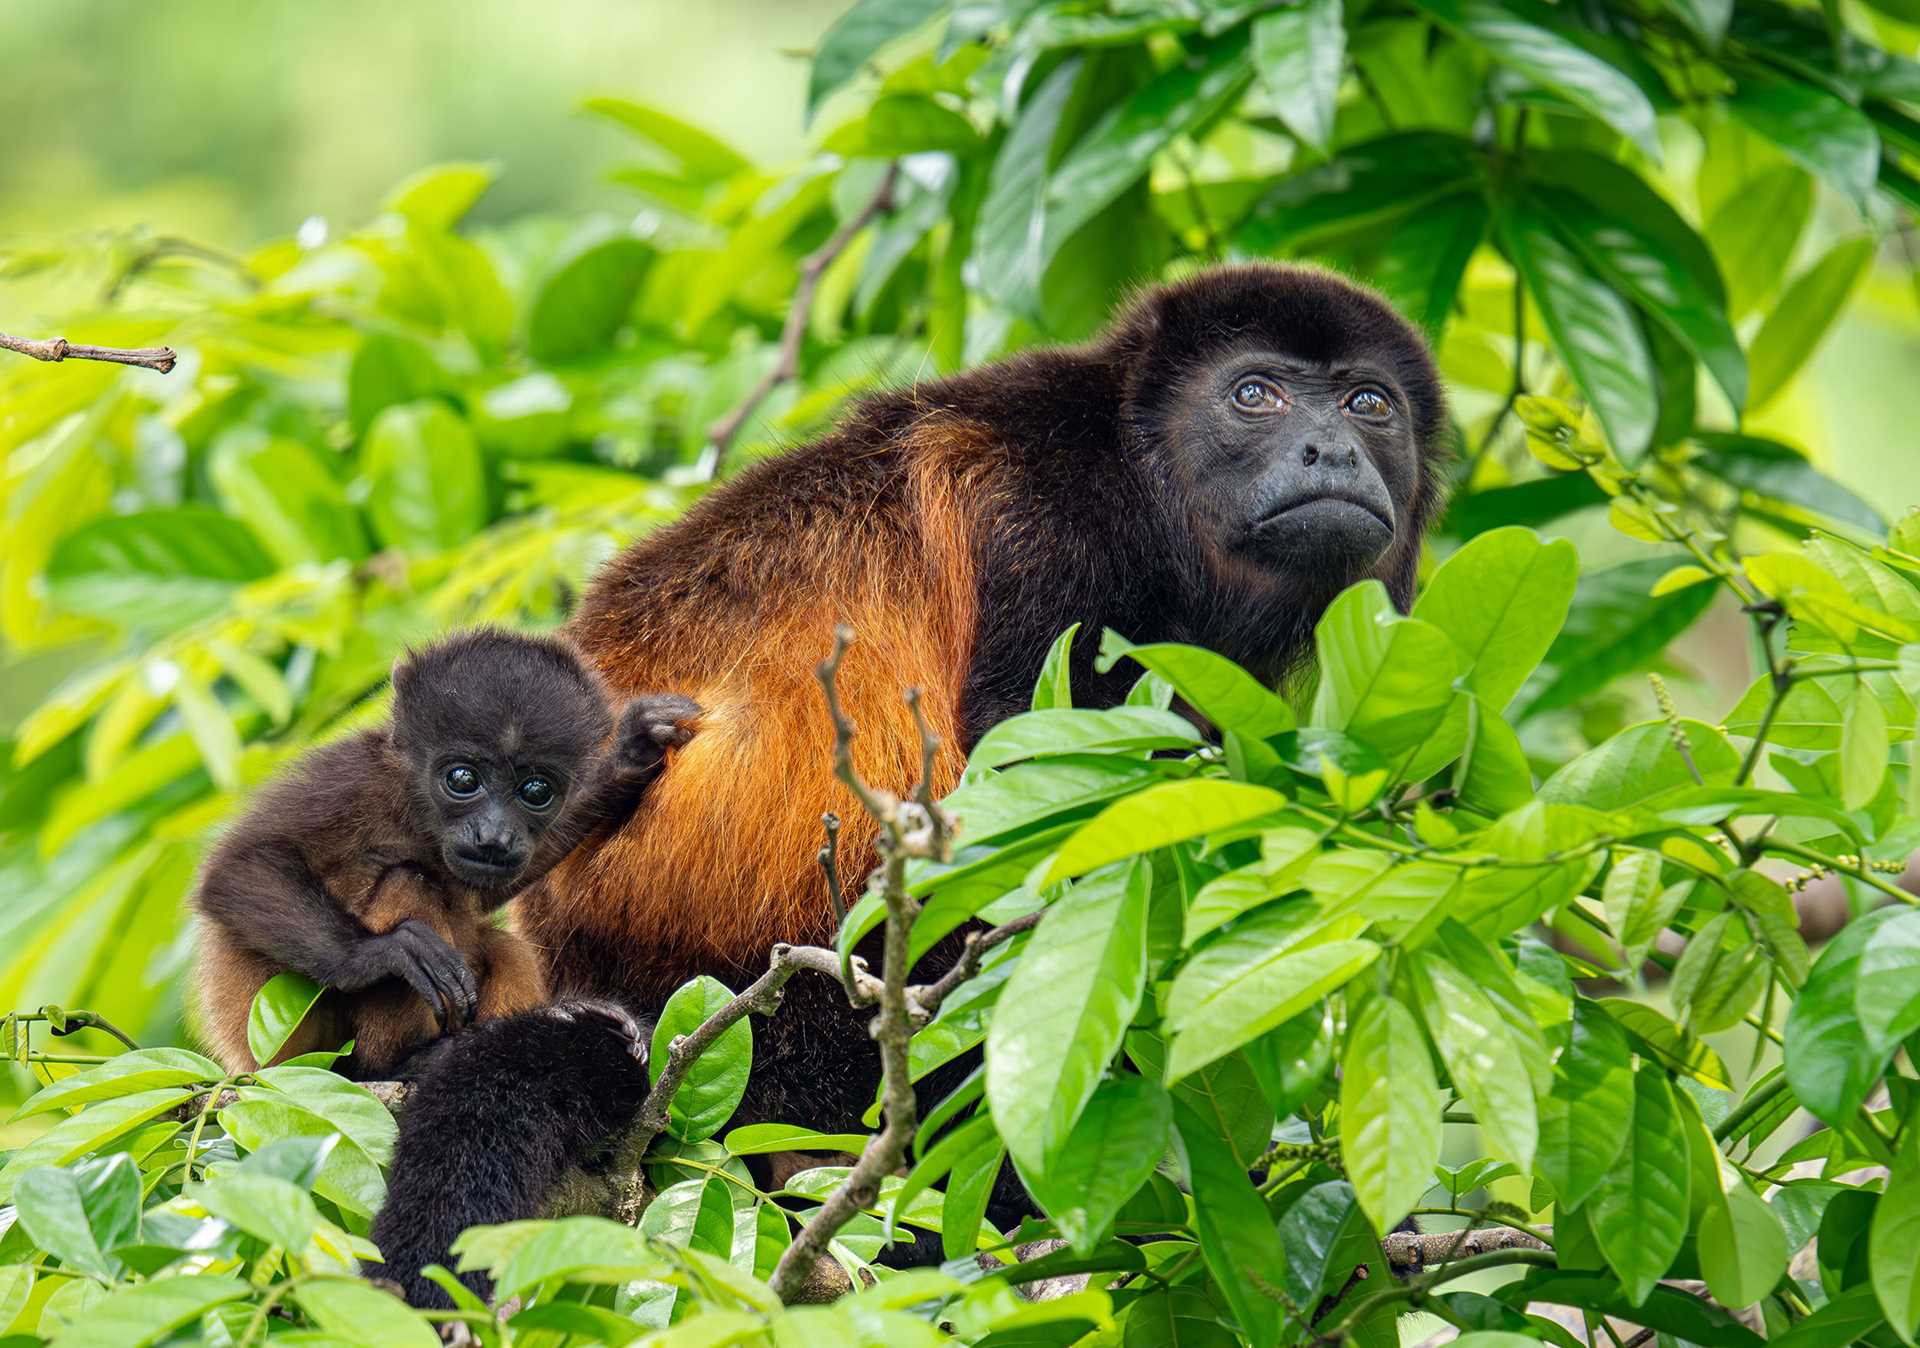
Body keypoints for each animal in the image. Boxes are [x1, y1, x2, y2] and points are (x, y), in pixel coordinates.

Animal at [374, 266, 1443, 1298]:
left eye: (1368, 403)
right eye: (1255, 394)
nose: (1332, 452)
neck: (1152, 490)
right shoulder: (1058, 539)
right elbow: (1024, 805)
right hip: (779, 1016)